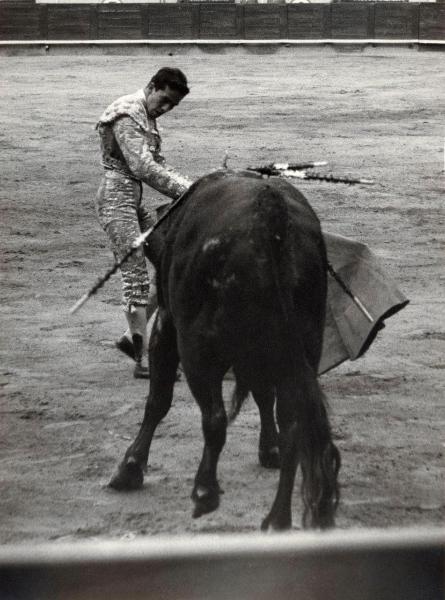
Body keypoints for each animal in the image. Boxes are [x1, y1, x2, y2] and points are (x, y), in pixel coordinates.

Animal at [109, 170, 338, 528]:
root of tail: (271, 213)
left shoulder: (167, 326)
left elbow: (158, 401)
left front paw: (130, 468)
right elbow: (264, 397)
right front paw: (268, 450)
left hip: (197, 348)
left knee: (214, 418)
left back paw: (205, 491)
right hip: (305, 345)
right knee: (293, 426)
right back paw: (277, 519)